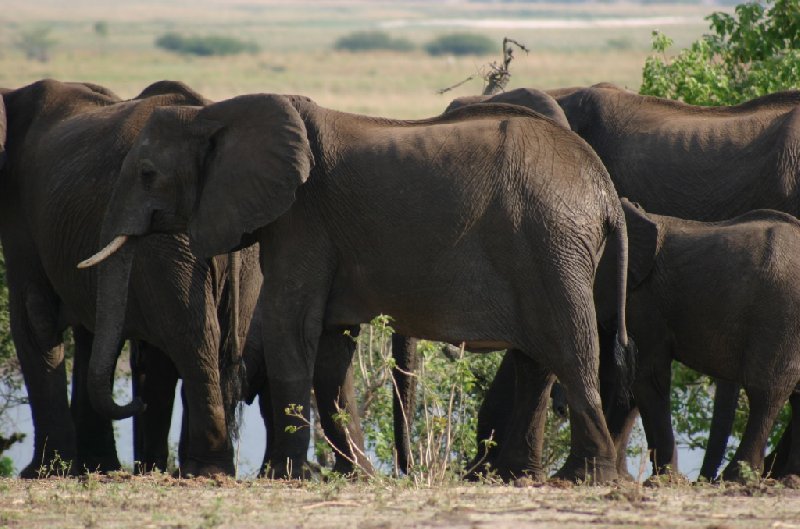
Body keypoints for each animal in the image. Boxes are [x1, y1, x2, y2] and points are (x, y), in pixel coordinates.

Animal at [0, 79, 260, 478]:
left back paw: (203, 471)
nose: (136, 403)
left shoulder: (19, 215)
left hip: (166, 245)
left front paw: (42, 472)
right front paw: (95, 465)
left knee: (193, 336)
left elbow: (34, 320)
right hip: (239, 256)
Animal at [84, 95, 636, 482]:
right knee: (537, 363)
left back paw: (582, 480)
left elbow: (290, 327)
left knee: (570, 351)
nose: (134, 401)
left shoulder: (302, 218)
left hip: (551, 243)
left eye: (148, 174)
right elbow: (331, 349)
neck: (216, 112)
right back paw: (532, 477)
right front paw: (360, 477)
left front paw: (281, 478)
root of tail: (605, 188)